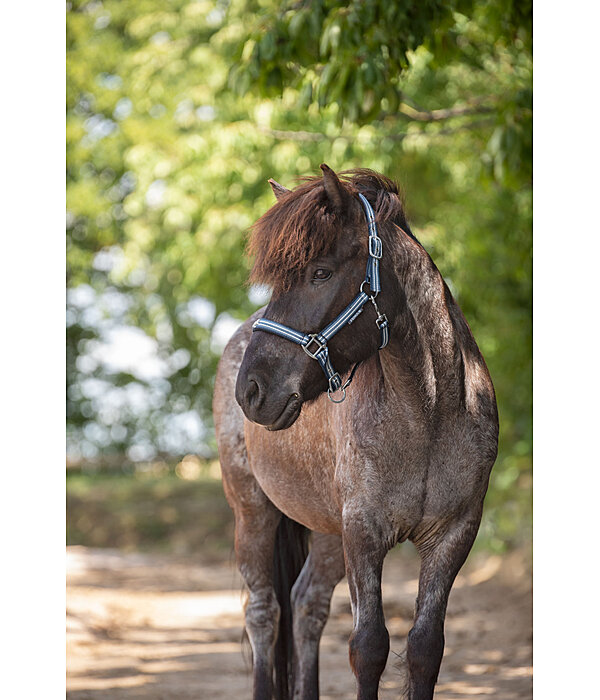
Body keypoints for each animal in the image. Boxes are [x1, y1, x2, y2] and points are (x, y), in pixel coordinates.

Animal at [213, 165, 500, 700]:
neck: (426, 416)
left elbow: (425, 648)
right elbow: (369, 647)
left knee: (306, 606)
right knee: (264, 614)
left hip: (326, 530)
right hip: (253, 512)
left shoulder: (453, 534)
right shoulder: (363, 532)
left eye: (321, 272)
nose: (251, 390)